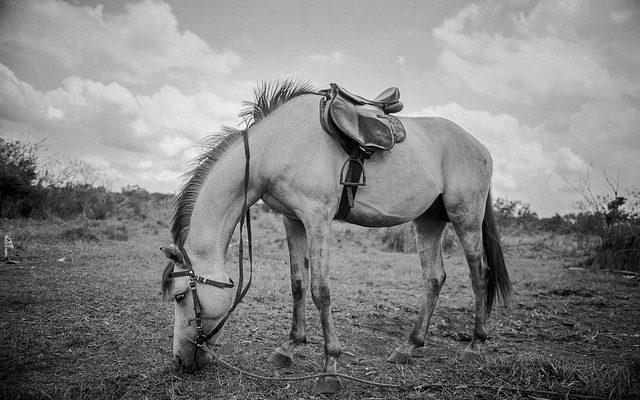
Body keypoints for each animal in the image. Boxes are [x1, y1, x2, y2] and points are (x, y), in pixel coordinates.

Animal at [162, 79, 512, 394]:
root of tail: (480, 146)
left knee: (479, 274)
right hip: (429, 221)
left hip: (465, 217)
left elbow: (321, 291)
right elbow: (298, 283)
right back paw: (408, 347)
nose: (180, 360)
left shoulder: (318, 219)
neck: (273, 147)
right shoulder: (292, 220)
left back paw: (474, 347)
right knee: (434, 278)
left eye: (179, 296)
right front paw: (288, 347)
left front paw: (330, 370)